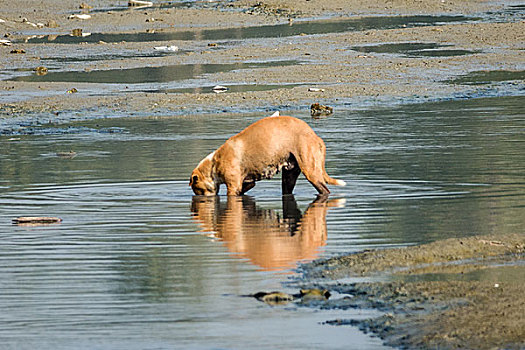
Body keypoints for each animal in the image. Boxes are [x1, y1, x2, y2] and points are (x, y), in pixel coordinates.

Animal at [188, 115, 344, 196]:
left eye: (198, 190)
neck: (214, 162)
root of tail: (315, 136)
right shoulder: (247, 183)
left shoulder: (233, 187)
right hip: (289, 175)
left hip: (310, 170)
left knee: (324, 190)